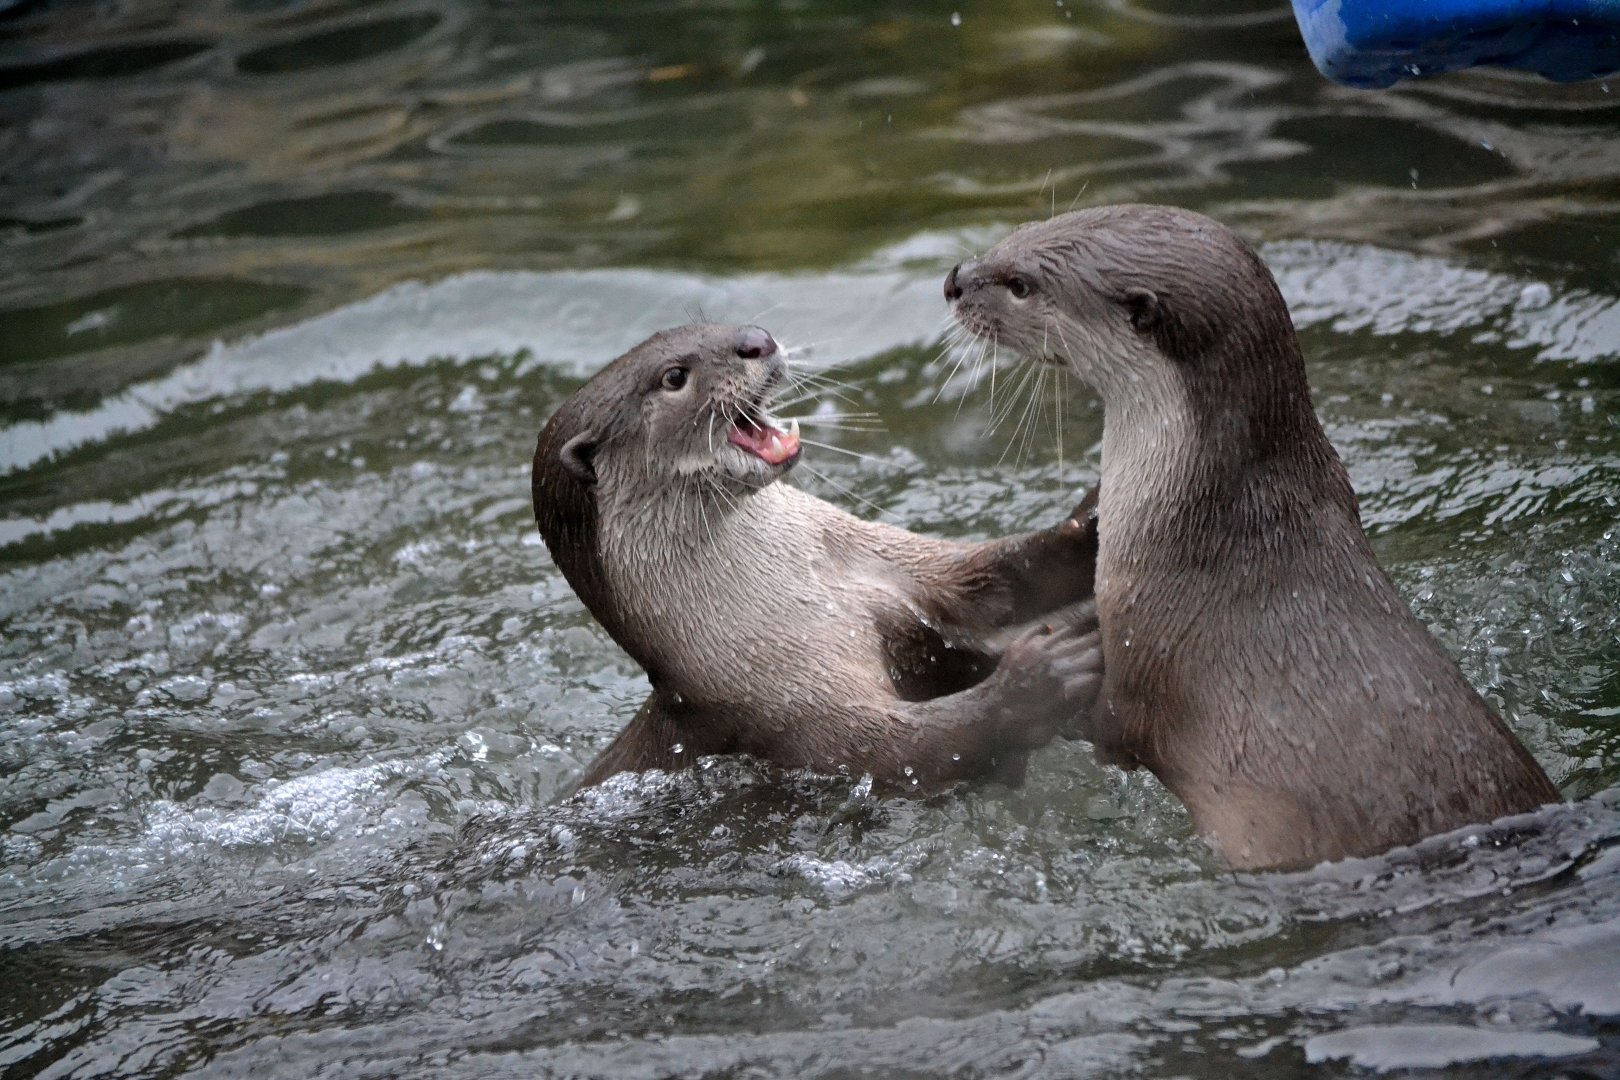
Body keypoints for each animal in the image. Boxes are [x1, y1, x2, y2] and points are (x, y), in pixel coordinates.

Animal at [532, 322, 1103, 792]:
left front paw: (1090, 525)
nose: (757, 340)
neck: (811, 599)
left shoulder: (883, 562)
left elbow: (994, 582)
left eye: (707, 323)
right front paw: (1039, 678)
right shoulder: (792, 709)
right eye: (674, 376)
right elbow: (916, 750)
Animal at [945, 204, 1559, 869]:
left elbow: (1111, 730)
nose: (954, 280)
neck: (1205, 532)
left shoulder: (1146, 660)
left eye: (1021, 284)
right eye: (1017, 234)